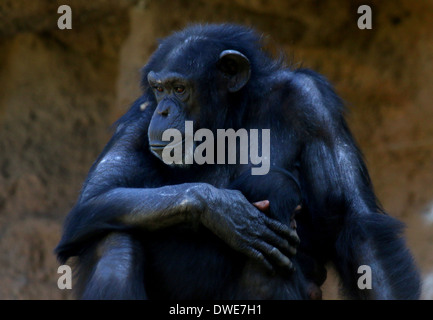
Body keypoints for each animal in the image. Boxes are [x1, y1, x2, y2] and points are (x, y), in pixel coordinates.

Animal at [55, 23, 420, 300]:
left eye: (180, 88)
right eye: (158, 89)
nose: (164, 111)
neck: (229, 118)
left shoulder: (314, 106)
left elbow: (352, 219)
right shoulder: (139, 119)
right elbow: (97, 196)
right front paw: (222, 209)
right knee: (113, 240)